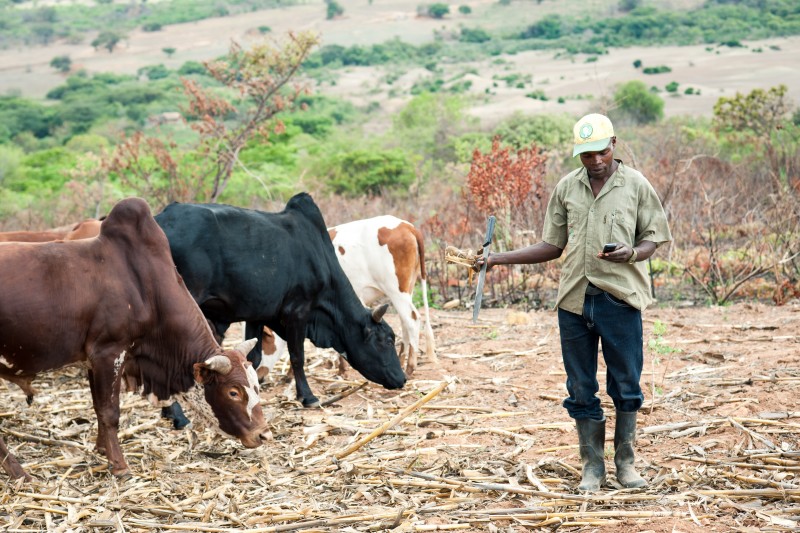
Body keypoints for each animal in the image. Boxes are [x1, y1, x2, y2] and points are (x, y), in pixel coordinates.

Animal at [0, 197, 268, 480]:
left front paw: (101, 449)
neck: (146, 288)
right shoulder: (109, 353)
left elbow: (98, 407)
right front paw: (119, 465)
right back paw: (18, 471)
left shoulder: (94, 359)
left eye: (256, 385)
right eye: (233, 392)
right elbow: (109, 412)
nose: (264, 434)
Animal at [155, 193, 406, 406]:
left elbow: (253, 358)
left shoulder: (257, 314)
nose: (402, 378)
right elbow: (297, 356)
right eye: (387, 340)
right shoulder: (298, 311)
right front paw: (307, 397)